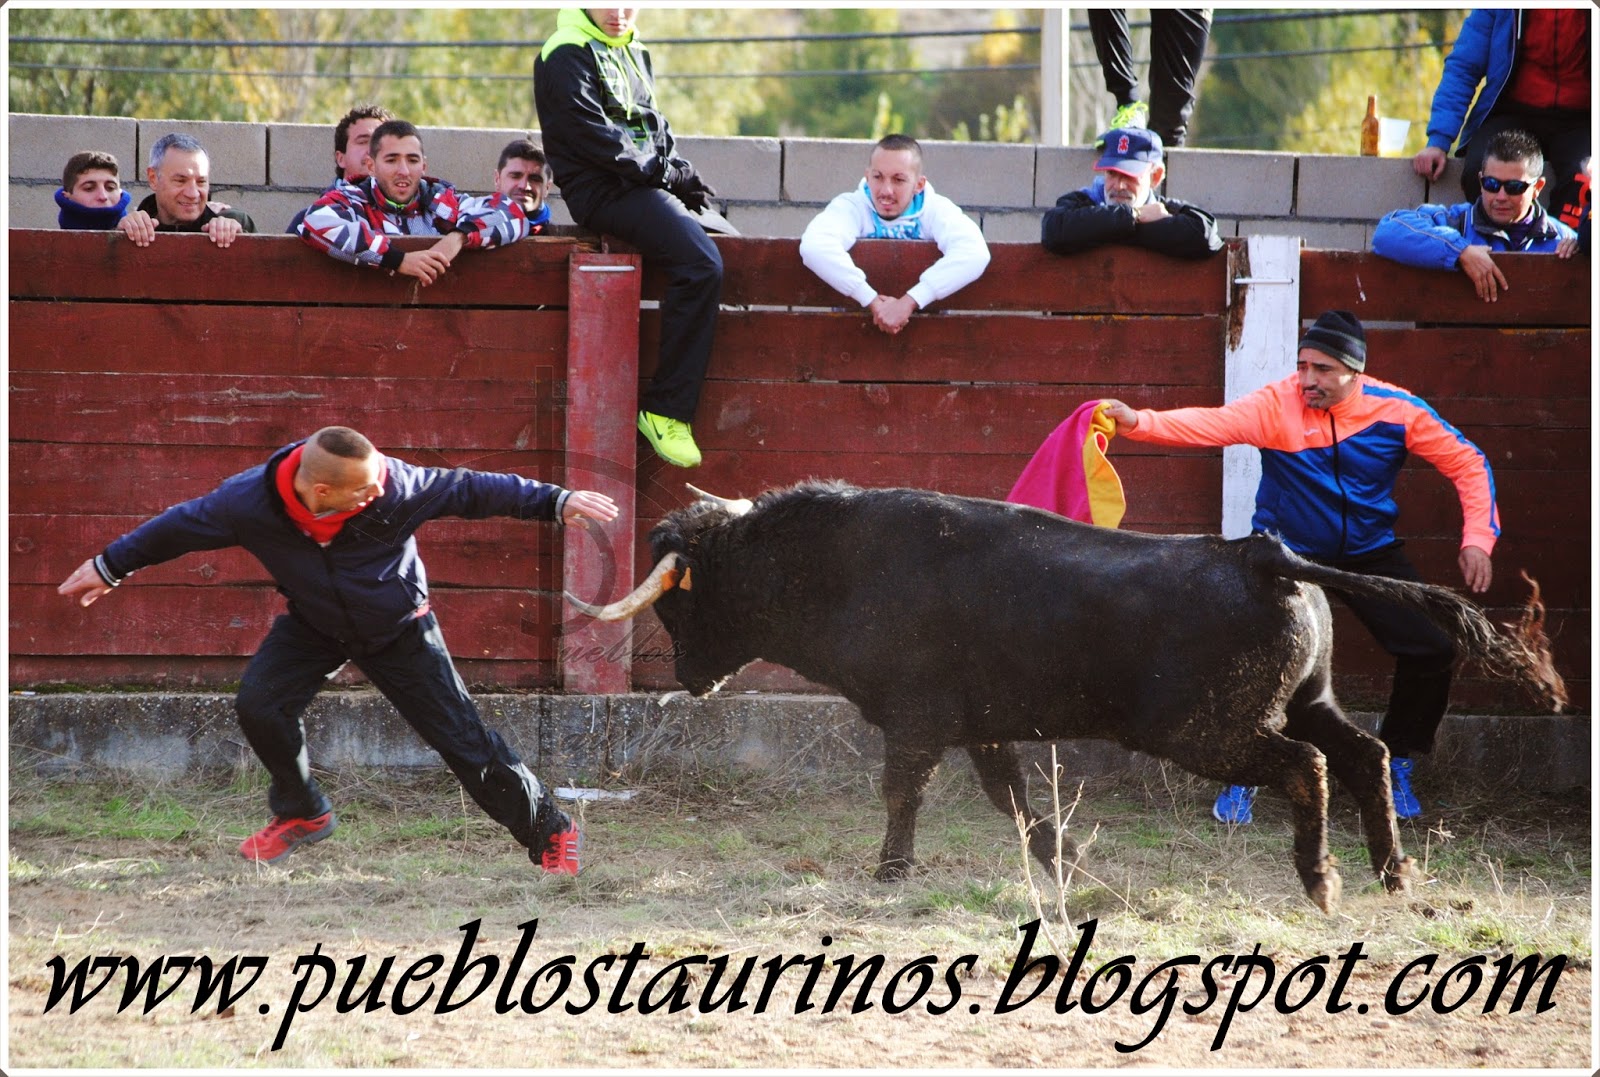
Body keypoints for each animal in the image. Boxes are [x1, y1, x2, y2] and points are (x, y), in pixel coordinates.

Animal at [567, 482, 1565, 913]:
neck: (842, 562)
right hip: (1301, 696)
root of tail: (1264, 553)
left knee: (1309, 765)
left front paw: (889, 872)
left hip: (1207, 729)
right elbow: (1015, 801)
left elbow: (905, 791)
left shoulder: (917, 718)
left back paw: (1322, 881)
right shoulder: (977, 725)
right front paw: (1075, 867)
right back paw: (1394, 874)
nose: (684, 674)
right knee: (1365, 751)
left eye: (682, 597)